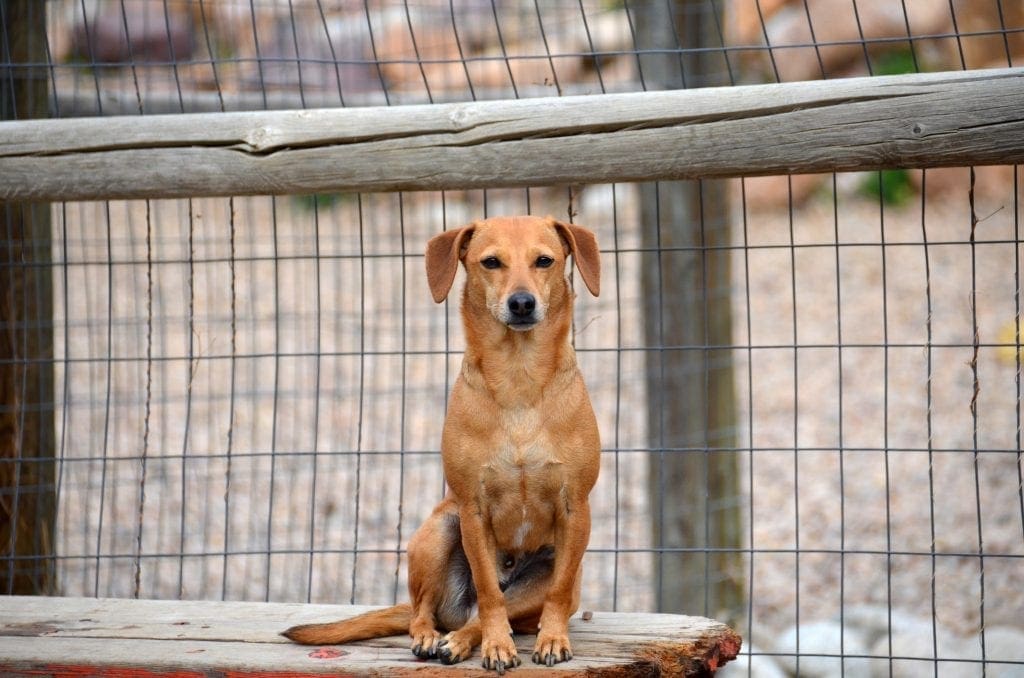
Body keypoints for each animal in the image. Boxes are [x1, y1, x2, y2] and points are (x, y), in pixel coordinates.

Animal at [283, 215, 601, 674]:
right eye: (491, 262)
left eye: (544, 260)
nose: (522, 303)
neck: (519, 379)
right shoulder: (471, 510)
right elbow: (488, 591)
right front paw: (496, 646)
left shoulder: (575, 507)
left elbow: (548, 597)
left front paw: (553, 639)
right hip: (440, 529)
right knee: (430, 610)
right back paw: (435, 638)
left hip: (542, 578)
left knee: (489, 612)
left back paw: (464, 640)